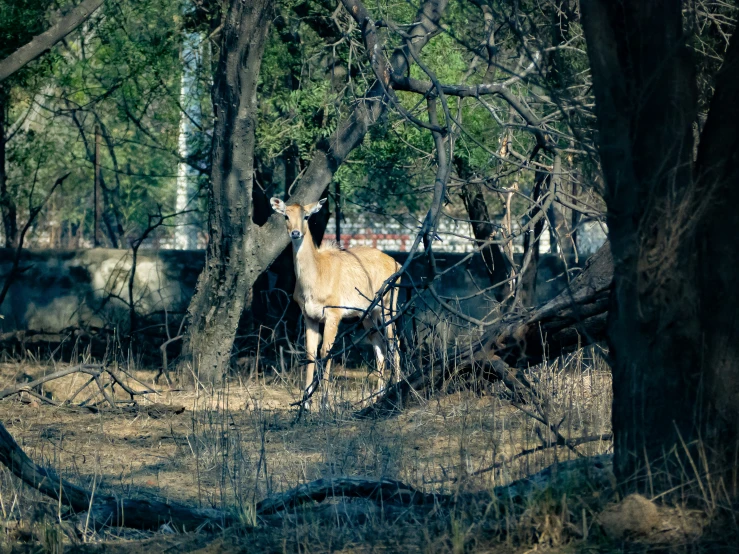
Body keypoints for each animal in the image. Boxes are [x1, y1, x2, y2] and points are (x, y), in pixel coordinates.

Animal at [270, 196, 402, 408]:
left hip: (388, 307)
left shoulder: (333, 314)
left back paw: (395, 389)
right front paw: (305, 403)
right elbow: (310, 353)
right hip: (368, 314)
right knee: (379, 345)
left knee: (393, 342)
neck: (316, 276)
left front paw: (325, 403)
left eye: (306, 216)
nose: (295, 233)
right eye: (286, 216)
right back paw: (377, 395)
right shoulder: (309, 316)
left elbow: (326, 351)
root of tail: (396, 263)